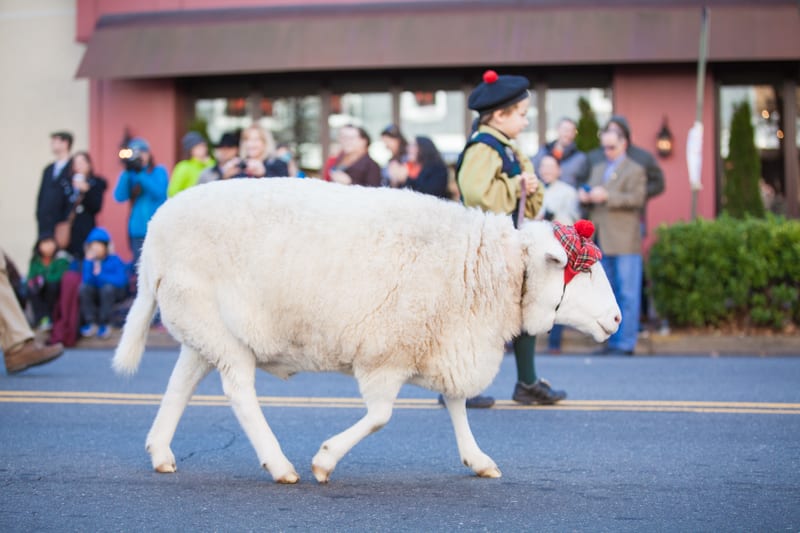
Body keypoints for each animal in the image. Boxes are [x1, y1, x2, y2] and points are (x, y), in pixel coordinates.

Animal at [112, 178, 620, 482]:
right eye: (587, 271)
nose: (617, 320)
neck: (491, 269)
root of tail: (152, 239)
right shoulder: (388, 352)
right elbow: (380, 416)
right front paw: (324, 460)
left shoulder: (443, 338)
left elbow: (456, 405)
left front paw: (478, 460)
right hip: (216, 328)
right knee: (238, 391)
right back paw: (280, 465)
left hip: (206, 328)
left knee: (180, 384)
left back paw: (161, 452)